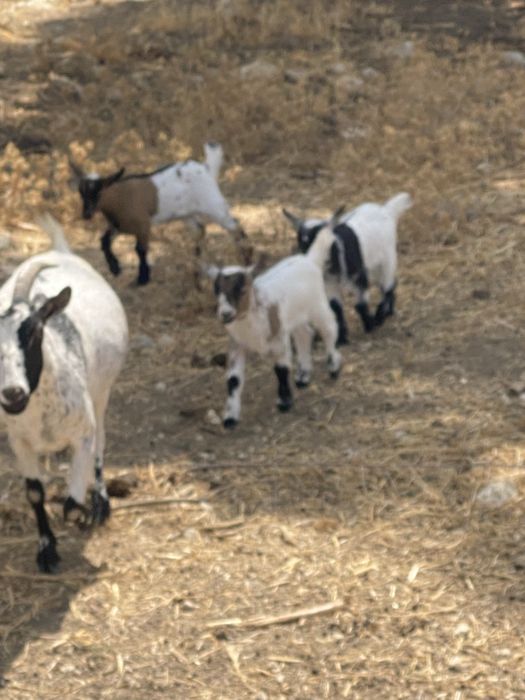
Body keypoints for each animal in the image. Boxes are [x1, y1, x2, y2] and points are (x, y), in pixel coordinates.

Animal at [0, 214, 128, 572]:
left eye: (34, 332)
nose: (12, 393)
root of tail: (60, 251)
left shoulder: (82, 433)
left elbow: (71, 504)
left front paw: (84, 515)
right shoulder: (20, 442)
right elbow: (34, 493)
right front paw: (47, 549)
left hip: (101, 393)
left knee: (101, 442)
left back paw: (100, 503)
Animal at [70, 142, 252, 285]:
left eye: (99, 192)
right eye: (81, 193)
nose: (86, 214)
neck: (120, 197)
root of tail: (206, 168)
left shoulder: (143, 225)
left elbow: (140, 250)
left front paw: (142, 278)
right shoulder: (118, 226)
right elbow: (104, 241)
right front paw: (115, 268)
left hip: (213, 204)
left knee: (235, 226)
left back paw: (247, 261)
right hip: (187, 214)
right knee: (199, 230)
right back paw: (197, 273)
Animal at [206, 211, 343, 428]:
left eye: (242, 289)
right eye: (216, 290)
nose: (225, 314)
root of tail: (308, 260)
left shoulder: (279, 340)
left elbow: (281, 369)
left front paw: (284, 403)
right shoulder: (236, 344)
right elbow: (233, 380)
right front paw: (230, 418)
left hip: (317, 305)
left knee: (329, 328)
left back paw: (334, 366)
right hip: (295, 315)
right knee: (305, 334)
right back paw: (304, 375)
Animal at [283, 192, 412, 344]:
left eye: (325, 240)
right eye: (302, 242)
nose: (310, 259)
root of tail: (385, 210)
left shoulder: (358, 277)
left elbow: (361, 304)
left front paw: (370, 325)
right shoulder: (330, 284)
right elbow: (336, 308)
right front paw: (341, 339)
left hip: (388, 258)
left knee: (387, 286)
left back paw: (381, 316)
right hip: (372, 267)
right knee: (388, 284)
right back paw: (389, 311)